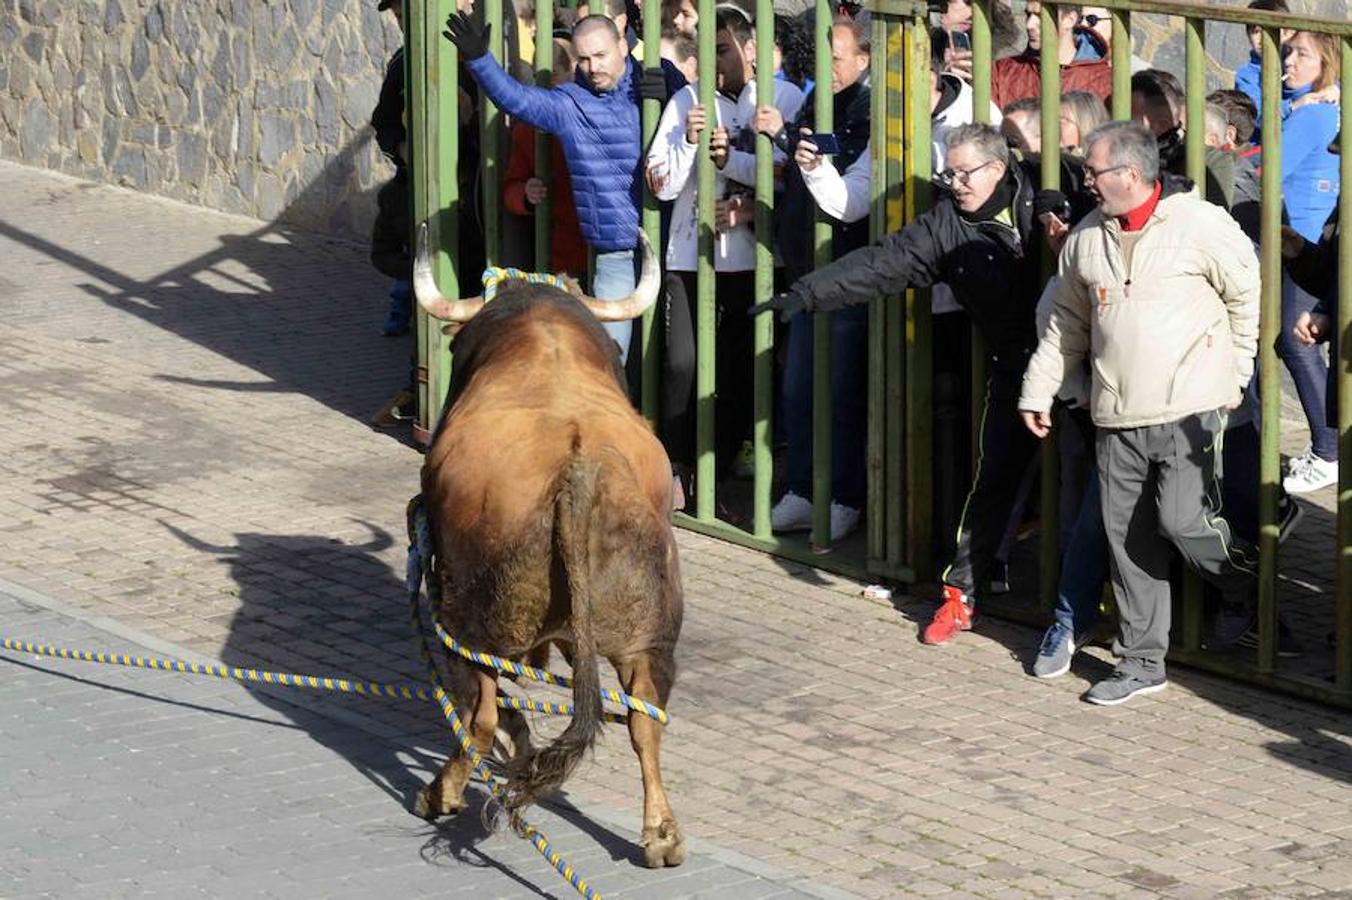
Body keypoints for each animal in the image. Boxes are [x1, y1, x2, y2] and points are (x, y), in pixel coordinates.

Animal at [411, 228, 686, 864]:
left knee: (479, 711)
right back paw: (661, 834)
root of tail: (575, 468)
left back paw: (443, 791)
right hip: (649, 629)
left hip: (473, 616)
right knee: (646, 719)